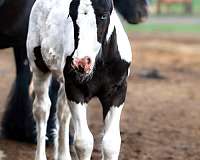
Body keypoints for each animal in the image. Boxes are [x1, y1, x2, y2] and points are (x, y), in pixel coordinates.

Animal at [27, 0, 131, 159]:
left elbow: (111, 144)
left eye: (103, 15)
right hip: (39, 68)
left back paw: (63, 155)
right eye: (71, 14)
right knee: (41, 109)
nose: (81, 62)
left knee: (62, 111)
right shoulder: (75, 90)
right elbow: (83, 142)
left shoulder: (117, 93)